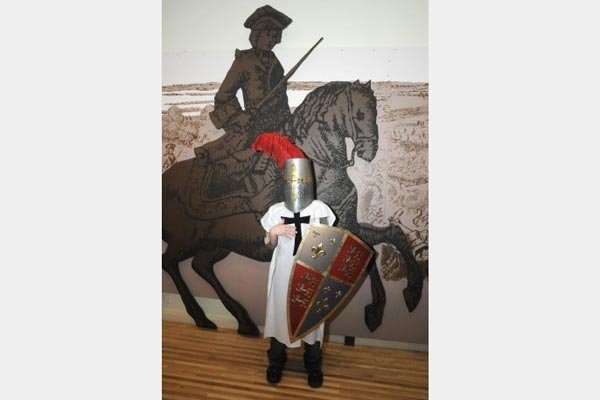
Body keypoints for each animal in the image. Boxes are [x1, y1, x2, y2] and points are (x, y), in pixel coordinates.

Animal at [162, 80, 423, 336]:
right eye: (359, 114)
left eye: (375, 111)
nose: (370, 150)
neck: (319, 168)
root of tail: (166, 178)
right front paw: (382, 306)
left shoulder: (348, 223)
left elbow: (387, 237)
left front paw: (405, 295)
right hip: (187, 239)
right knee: (170, 262)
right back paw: (202, 317)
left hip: (217, 244)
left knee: (200, 265)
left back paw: (242, 321)